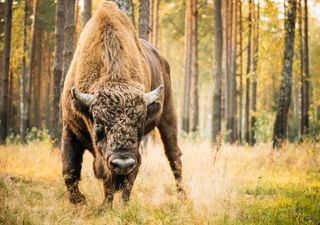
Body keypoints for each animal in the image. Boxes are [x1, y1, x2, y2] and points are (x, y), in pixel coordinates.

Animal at [60, 0, 185, 205]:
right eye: (99, 124)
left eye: (140, 124)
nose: (123, 163)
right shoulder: (70, 128)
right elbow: (69, 171)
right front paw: (82, 203)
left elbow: (115, 180)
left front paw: (107, 207)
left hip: (168, 115)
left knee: (173, 157)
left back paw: (181, 199)